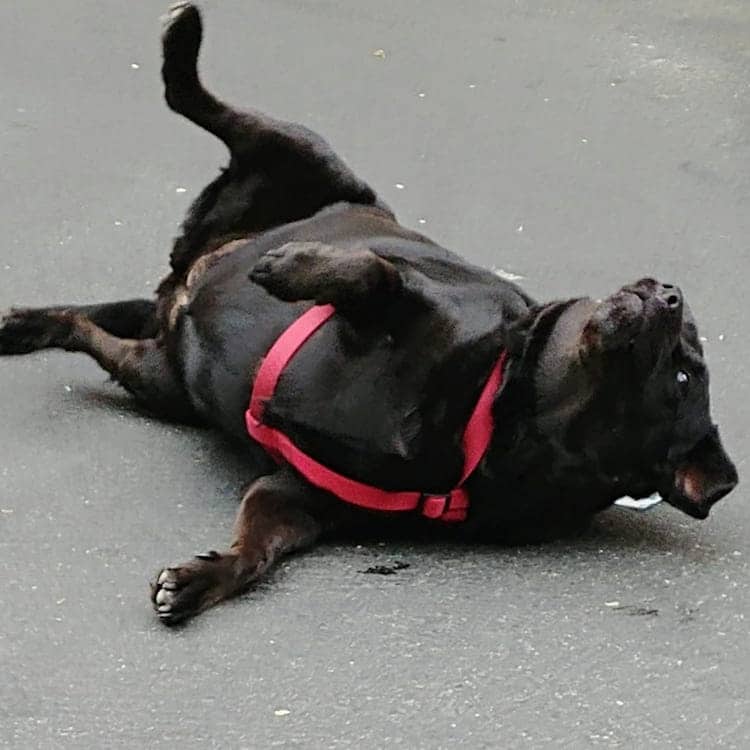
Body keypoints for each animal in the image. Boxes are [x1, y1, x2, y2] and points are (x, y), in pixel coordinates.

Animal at [0, 2, 740, 624]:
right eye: (687, 349)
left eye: (682, 376)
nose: (672, 294)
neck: (496, 412)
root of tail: (186, 279)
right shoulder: (410, 291)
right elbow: (372, 269)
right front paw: (292, 267)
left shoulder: (295, 498)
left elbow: (259, 548)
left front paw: (204, 578)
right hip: (304, 151)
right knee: (199, 101)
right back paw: (185, 45)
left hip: (164, 380)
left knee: (92, 330)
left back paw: (28, 327)